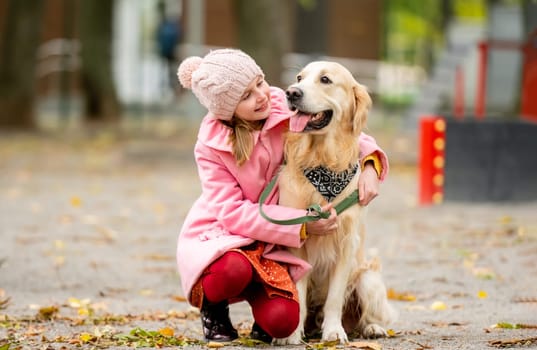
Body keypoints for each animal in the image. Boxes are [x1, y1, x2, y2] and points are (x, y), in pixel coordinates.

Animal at [276, 61, 394, 344]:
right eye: (299, 78)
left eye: (325, 80)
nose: (291, 92)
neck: (322, 161)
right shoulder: (296, 241)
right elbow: (298, 293)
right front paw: (292, 334)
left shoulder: (346, 243)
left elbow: (335, 298)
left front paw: (333, 331)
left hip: (368, 278)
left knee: (365, 315)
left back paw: (371, 328)